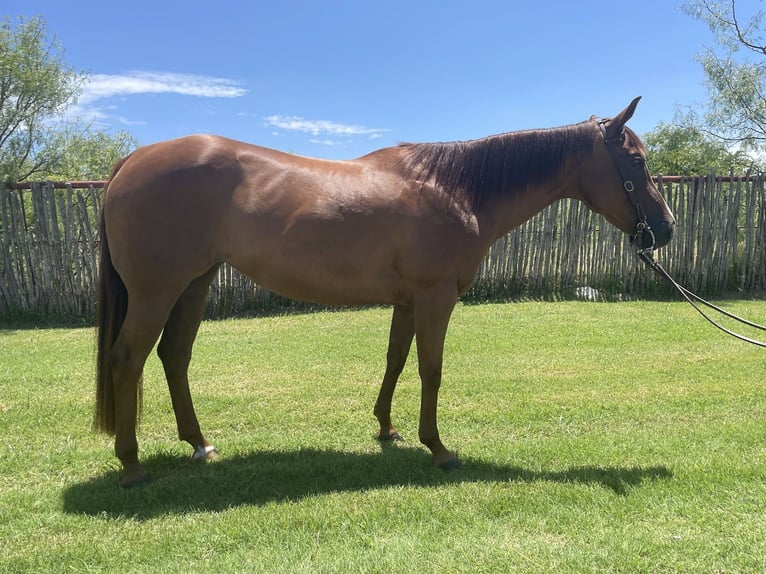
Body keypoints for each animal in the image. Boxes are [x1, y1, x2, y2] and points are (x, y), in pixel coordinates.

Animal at [95, 96, 675, 487]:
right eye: (638, 162)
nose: (665, 229)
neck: (454, 190)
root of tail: (131, 162)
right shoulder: (436, 297)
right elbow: (430, 369)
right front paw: (438, 448)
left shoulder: (406, 301)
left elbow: (395, 360)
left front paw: (386, 429)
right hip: (156, 294)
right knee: (127, 359)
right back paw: (131, 465)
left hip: (193, 285)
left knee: (174, 356)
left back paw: (200, 445)